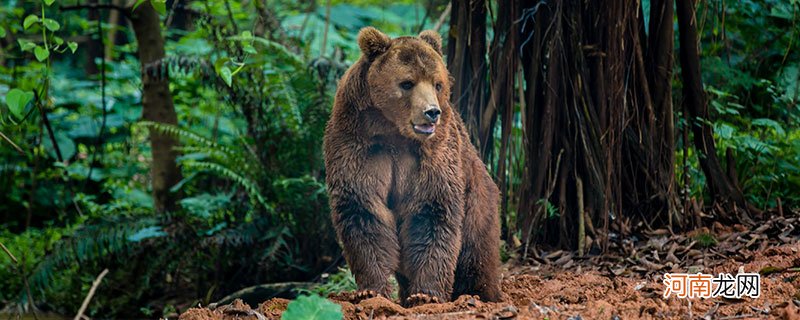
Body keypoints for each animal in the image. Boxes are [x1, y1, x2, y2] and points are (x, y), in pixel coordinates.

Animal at [320, 27, 496, 308]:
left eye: (437, 83)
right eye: (407, 83)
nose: (431, 112)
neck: (393, 131)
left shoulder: (434, 152)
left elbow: (432, 212)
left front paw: (426, 294)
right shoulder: (357, 143)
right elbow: (363, 210)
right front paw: (370, 291)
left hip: (477, 198)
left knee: (475, 252)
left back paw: (478, 293)